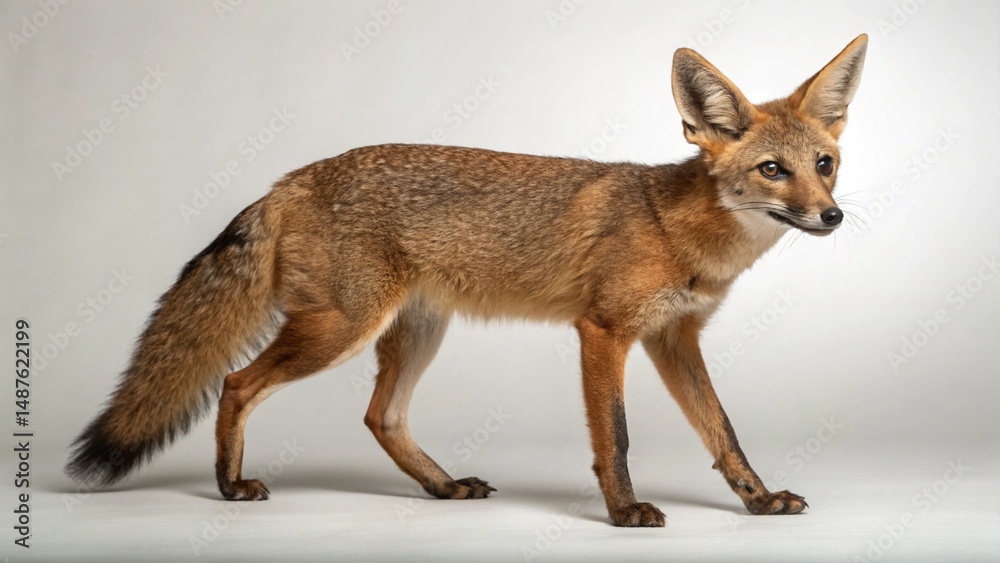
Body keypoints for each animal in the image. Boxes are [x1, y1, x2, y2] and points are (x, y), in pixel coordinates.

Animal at [66, 34, 868, 527]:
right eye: (772, 170)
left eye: (824, 163)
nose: (832, 215)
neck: (680, 230)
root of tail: (288, 180)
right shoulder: (604, 331)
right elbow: (615, 437)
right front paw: (622, 513)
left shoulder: (674, 338)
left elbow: (723, 431)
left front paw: (758, 501)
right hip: (338, 330)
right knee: (236, 383)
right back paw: (231, 485)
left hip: (416, 331)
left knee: (380, 417)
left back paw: (442, 486)